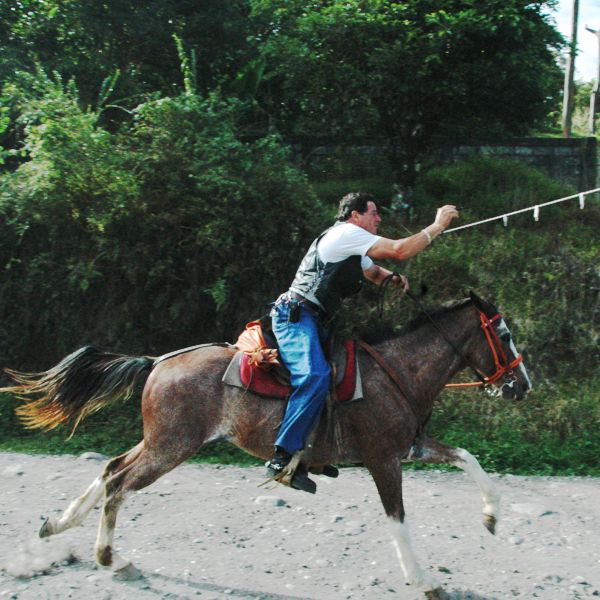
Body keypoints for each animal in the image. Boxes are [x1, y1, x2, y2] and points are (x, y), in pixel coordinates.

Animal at [3, 290, 528, 596]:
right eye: (503, 333)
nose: (522, 385)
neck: (395, 371)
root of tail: (156, 362)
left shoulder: (411, 447)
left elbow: (468, 458)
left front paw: (491, 516)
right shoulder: (384, 460)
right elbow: (398, 519)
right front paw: (423, 580)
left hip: (158, 441)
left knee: (111, 467)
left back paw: (58, 525)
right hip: (171, 447)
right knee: (118, 484)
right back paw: (110, 557)